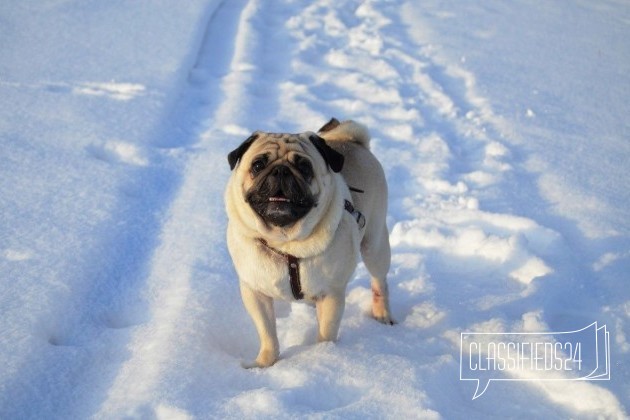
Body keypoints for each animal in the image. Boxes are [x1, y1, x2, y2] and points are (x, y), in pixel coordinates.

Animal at [227, 118, 392, 368]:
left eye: (304, 167)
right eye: (257, 165)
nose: (281, 170)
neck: (285, 241)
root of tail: (351, 140)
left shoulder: (331, 294)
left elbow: (326, 331)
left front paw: (321, 355)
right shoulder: (255, 293)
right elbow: (267, 333)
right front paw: (264, 363)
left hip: (375, 245)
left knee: (379, 280)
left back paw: (382, 314)